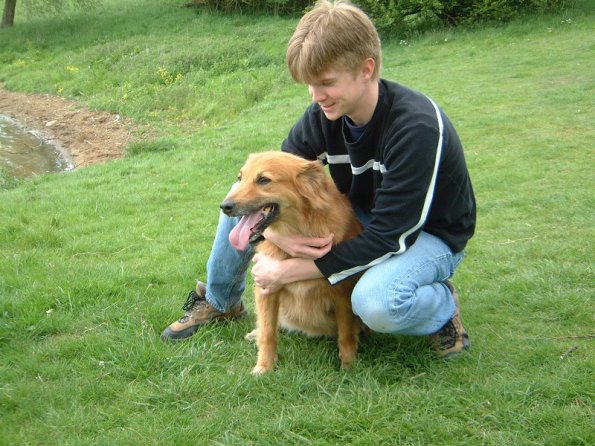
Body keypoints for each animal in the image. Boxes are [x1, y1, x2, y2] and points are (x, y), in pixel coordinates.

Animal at [221, 152, 364, 374]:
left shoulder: (343, 295)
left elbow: (346, 335)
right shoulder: (266, 288)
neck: (298, 229)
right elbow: (268, 333)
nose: (224, 207)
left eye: (263, 180)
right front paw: (264, 367)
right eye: (240, 178)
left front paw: (349, 367)